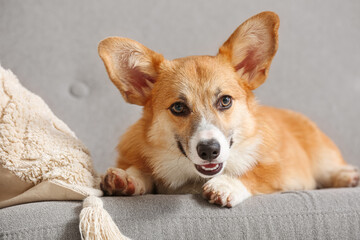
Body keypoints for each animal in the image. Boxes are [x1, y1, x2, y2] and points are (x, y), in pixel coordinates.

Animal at [97, 11, 358, 207]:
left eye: (225, 101)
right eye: (178, 107)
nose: (209, 150)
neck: (192, 176)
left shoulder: (279, 170)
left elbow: (254, 173)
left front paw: (226, 184)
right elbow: (142, 170)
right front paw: (127, 178)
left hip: (322, 154)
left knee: (330, 169)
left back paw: (348, 175)